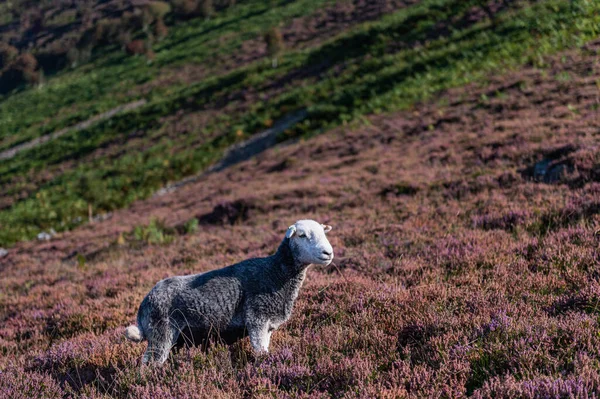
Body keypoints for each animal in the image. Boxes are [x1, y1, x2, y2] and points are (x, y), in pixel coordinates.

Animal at [124, 220, 336, 364]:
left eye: (323, 232)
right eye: (302, 235)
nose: (328, 253)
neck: (275, 272)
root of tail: (143, 304)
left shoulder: (268, 326)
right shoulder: (257, 319)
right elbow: (261, 351)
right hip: (161, 333)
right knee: (147, 365)